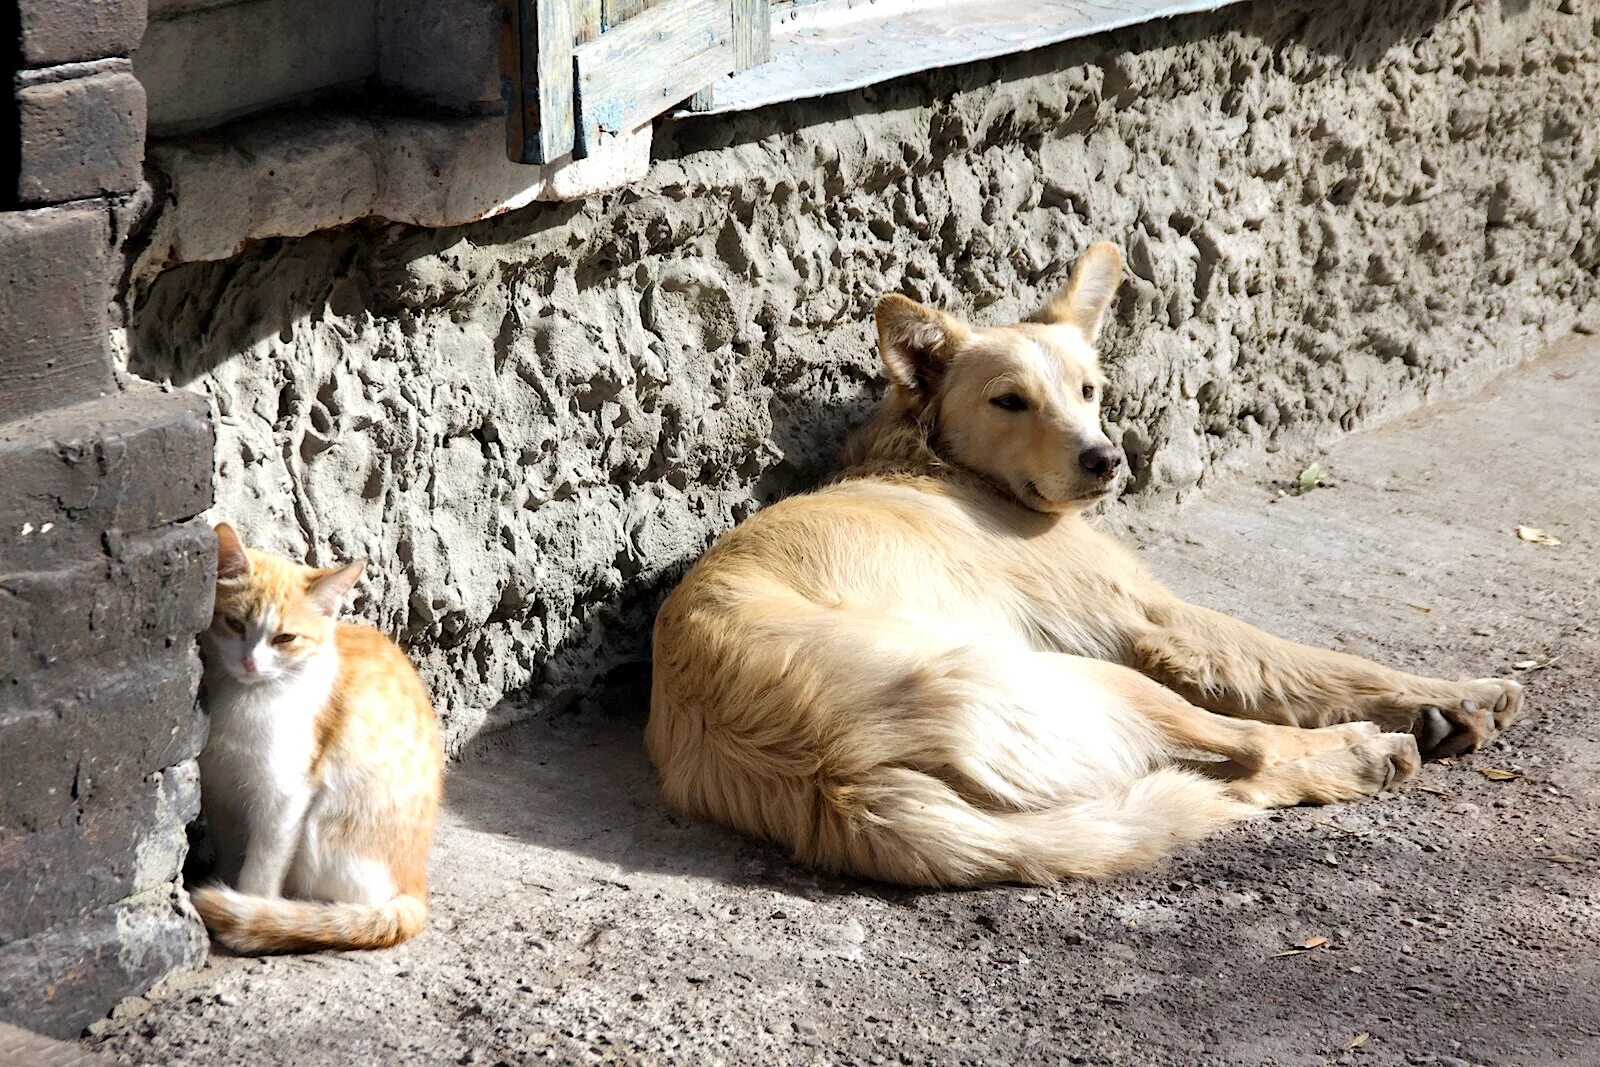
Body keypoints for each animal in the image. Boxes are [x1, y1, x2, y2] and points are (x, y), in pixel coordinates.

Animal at [192, 524, 444, 953]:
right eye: (235, 624)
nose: (250, 662)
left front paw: (248, 906)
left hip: (325, 831)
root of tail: (415, 885)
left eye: (285, 639)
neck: (244, 696)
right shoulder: (220, 787)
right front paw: (224, 879)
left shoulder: (286, 795)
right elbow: (229, 844)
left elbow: (262, 868)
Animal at [643, 244, 1516, 883]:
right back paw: (1370, 750)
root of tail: (841, 779)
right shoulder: (1158, 620)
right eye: (1009, 401)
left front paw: (1445, 704)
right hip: (1102, 682)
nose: (1107, 459)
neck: (933, 457)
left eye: (1089, 389)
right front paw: (1461, 691)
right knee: (1252, 748)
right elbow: (1319, 662)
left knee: (1223, 781)